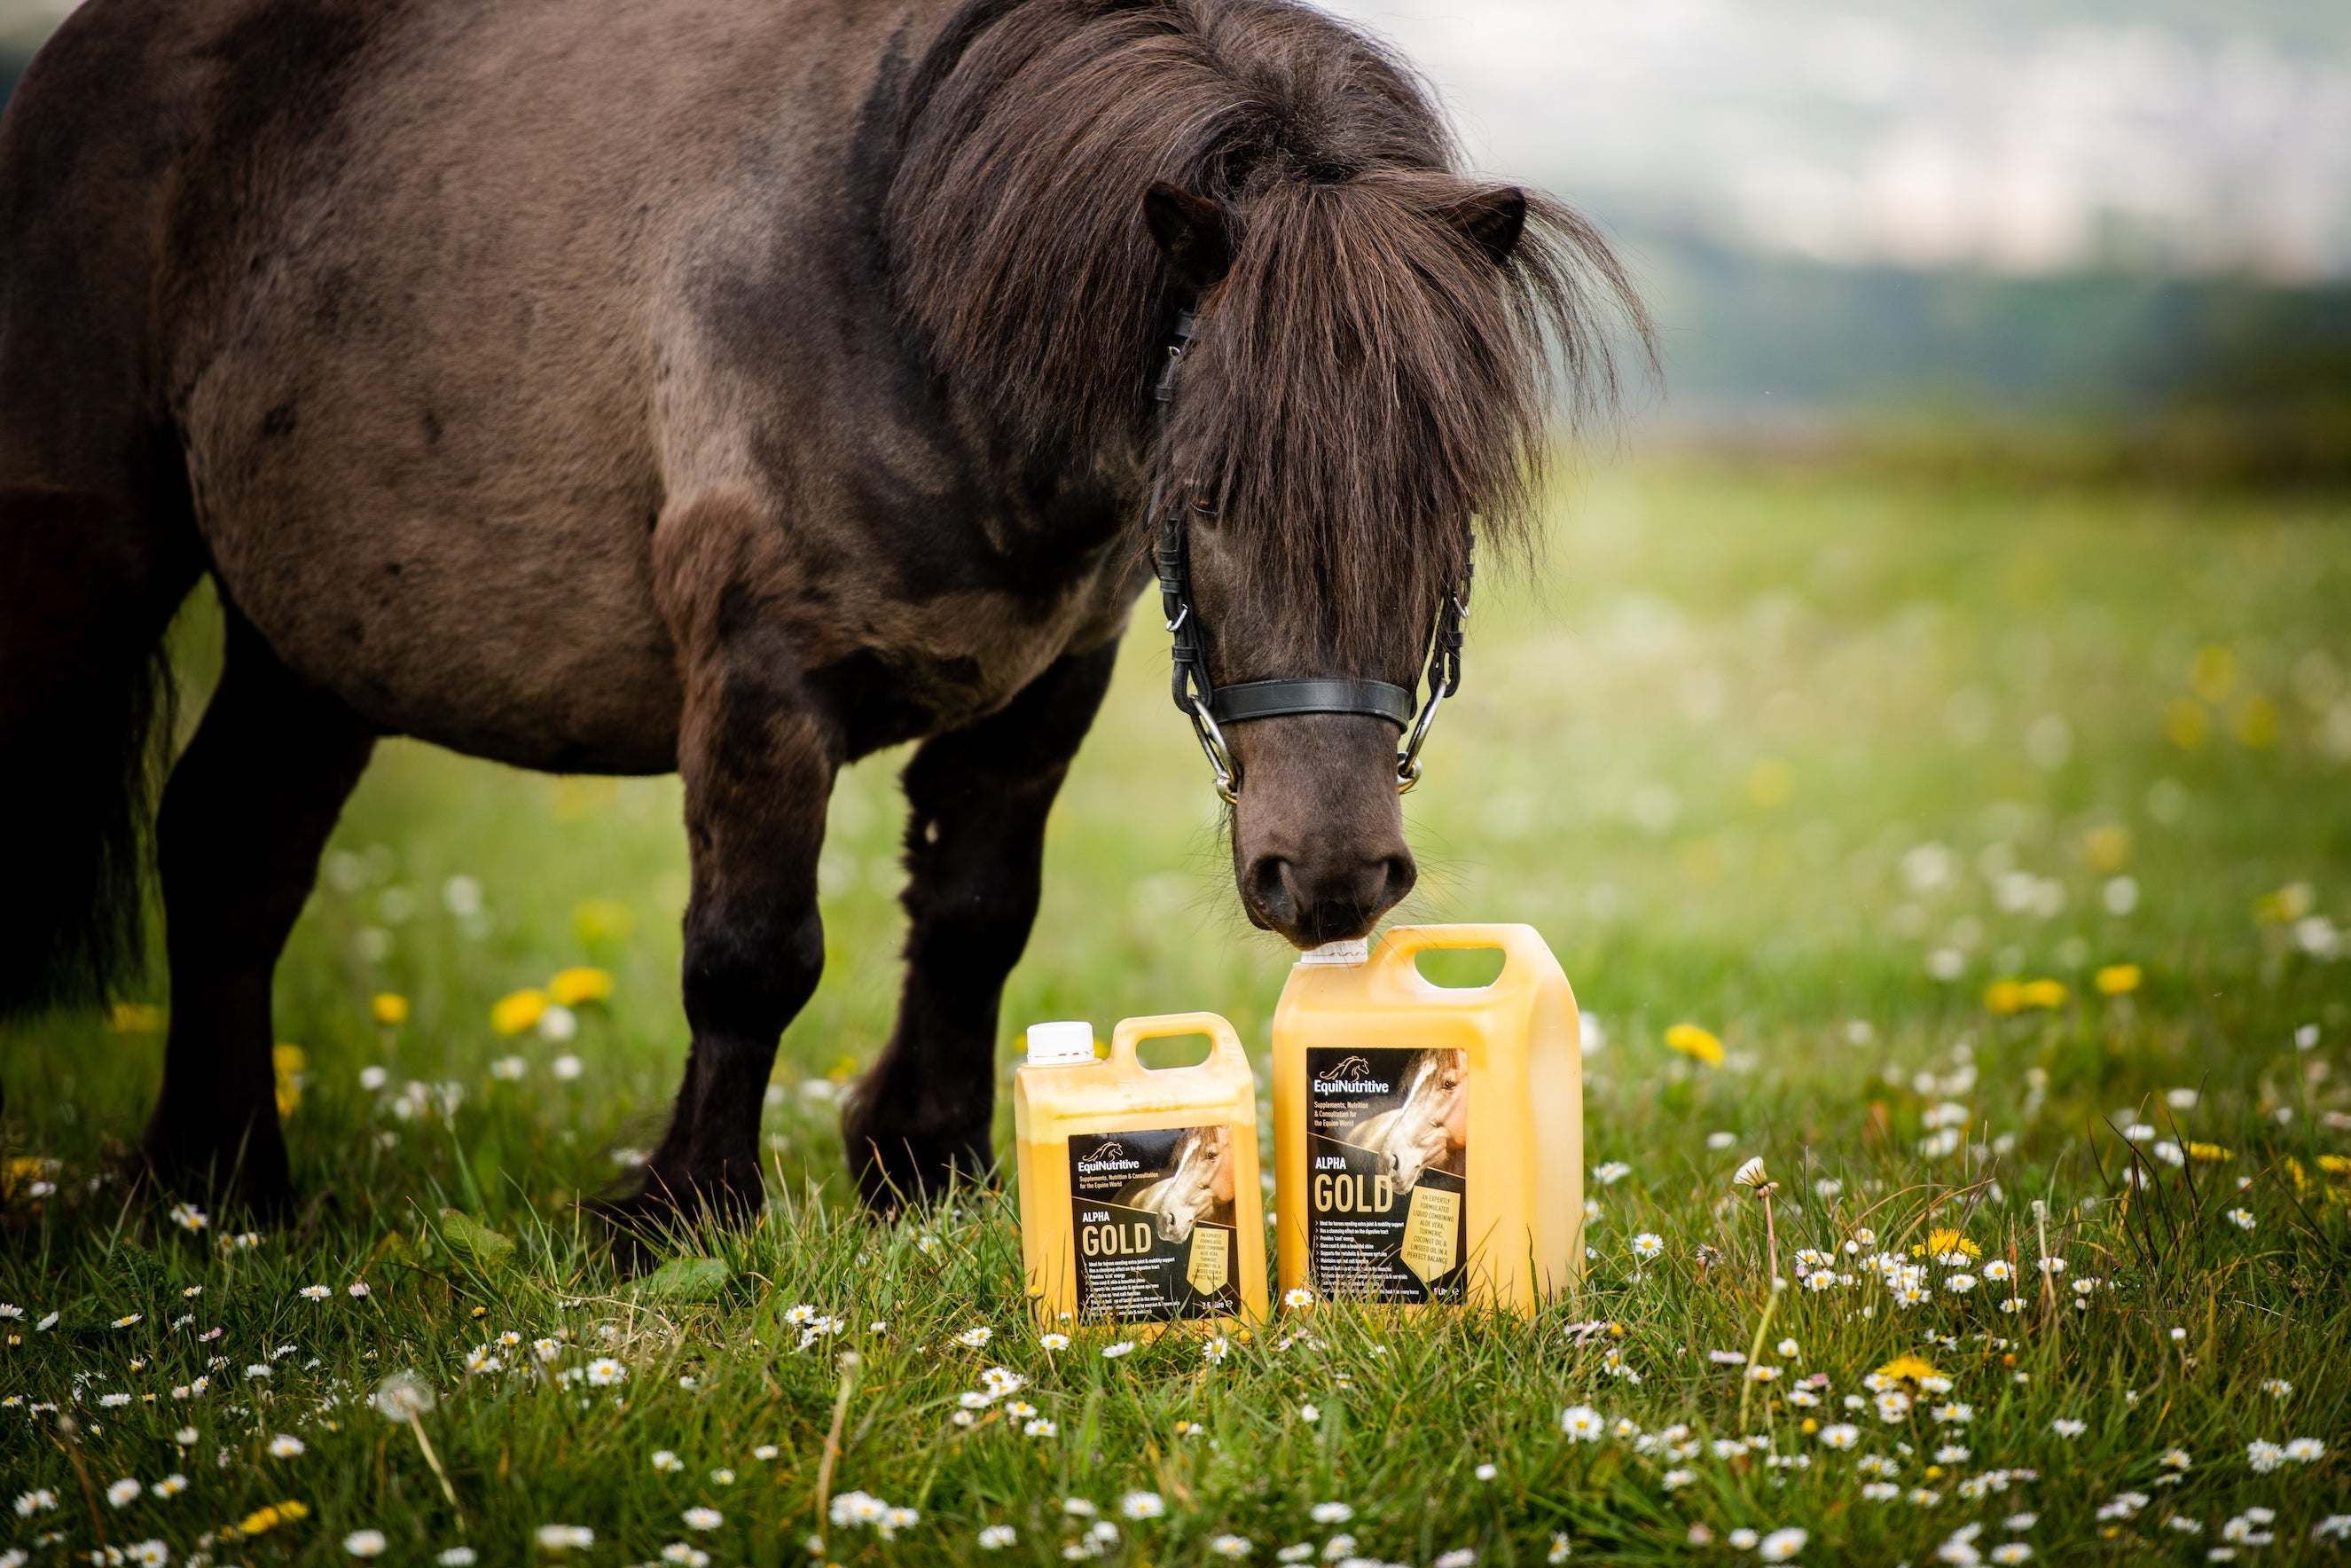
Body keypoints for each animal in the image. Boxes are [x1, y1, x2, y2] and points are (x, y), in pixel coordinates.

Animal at [0, 0, 1642, 1225]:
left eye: (1445, 503)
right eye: (1211, 487)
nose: (1336, 877)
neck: (901, 264)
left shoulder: (1050, 681)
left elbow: (974, 918)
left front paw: (925, 1160)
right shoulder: (756, 672)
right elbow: (751, 950)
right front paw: (681, 1209)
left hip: (309, 643)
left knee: (231, 854)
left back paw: (217, 1184)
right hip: (86, 569)